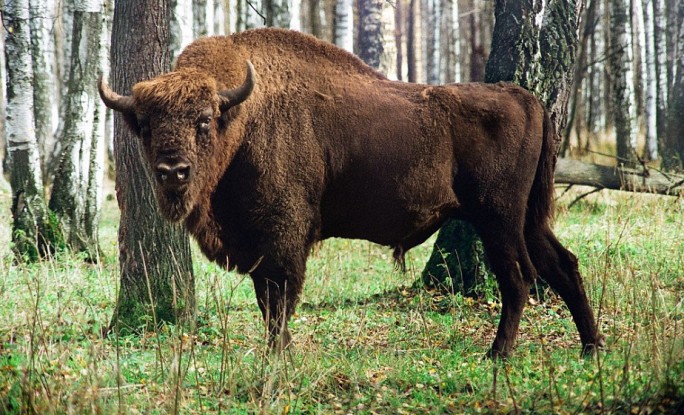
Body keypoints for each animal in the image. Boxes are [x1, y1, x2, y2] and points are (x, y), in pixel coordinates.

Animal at [100, 27, 604, 360]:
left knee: (518, 277)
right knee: (563, 264)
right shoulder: (262, 245)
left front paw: (278, 357)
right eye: (145, 125)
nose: (173, 172)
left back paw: (498, 354)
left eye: (204, 120)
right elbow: (268, 301)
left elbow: (279, 301)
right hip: (527, 218)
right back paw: (591, 347)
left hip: (498, 218)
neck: (242, 116)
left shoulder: (282, 238)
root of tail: (526, 98)